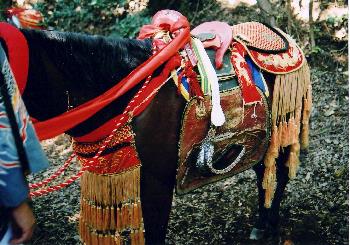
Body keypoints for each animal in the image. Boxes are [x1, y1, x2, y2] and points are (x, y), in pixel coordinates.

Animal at [0, 9, 312, 245]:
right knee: (263, 169)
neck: (125, 93)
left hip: (284, 124)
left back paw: (269, 224)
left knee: (279, 173)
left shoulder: (157, 182)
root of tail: (283, 35)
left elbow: (155, 233)